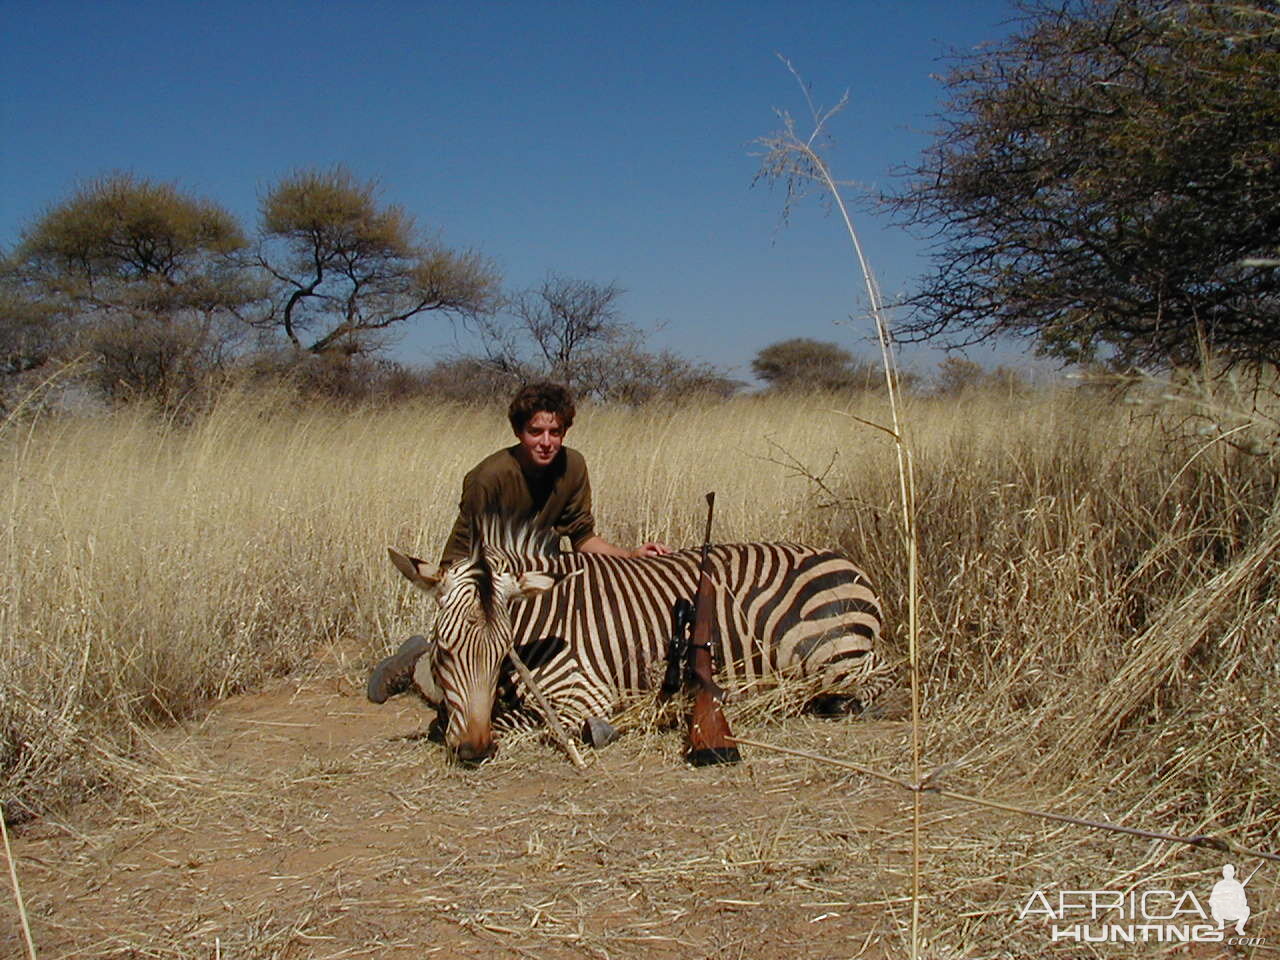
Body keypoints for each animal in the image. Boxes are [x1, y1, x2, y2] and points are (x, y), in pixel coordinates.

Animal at [389, 514, 890, 762]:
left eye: (501, 654)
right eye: (444, 652)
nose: (474, 751)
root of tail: (847, 562)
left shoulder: (583, 693)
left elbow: (515, 720)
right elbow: (448, 718)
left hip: (828, 655)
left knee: (870, 681)